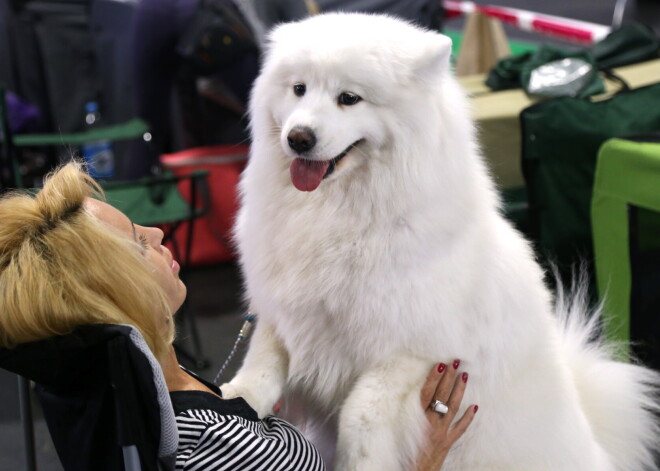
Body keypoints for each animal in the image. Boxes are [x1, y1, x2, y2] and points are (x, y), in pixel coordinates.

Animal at [222, 12, 660, 471]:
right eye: (299, 89)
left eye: (349, 98)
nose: (298, 138)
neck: (337, 215)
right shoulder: (284, 310)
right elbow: (261, 366)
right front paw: (235, 399)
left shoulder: (413, 352)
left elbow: (360, 415)